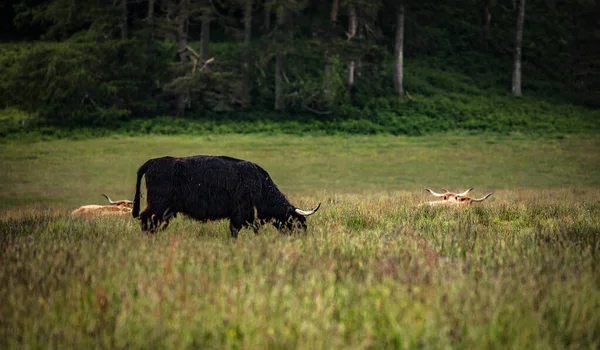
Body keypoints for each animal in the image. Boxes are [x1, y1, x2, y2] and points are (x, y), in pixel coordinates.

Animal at [131, 154, 318, 237]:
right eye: (299, 223)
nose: (303, 237)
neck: (261, 185)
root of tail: (152, 162)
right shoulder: (238, 214)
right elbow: (235, 230)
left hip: (165, 209)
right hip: (158, 204)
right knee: (146, 219)